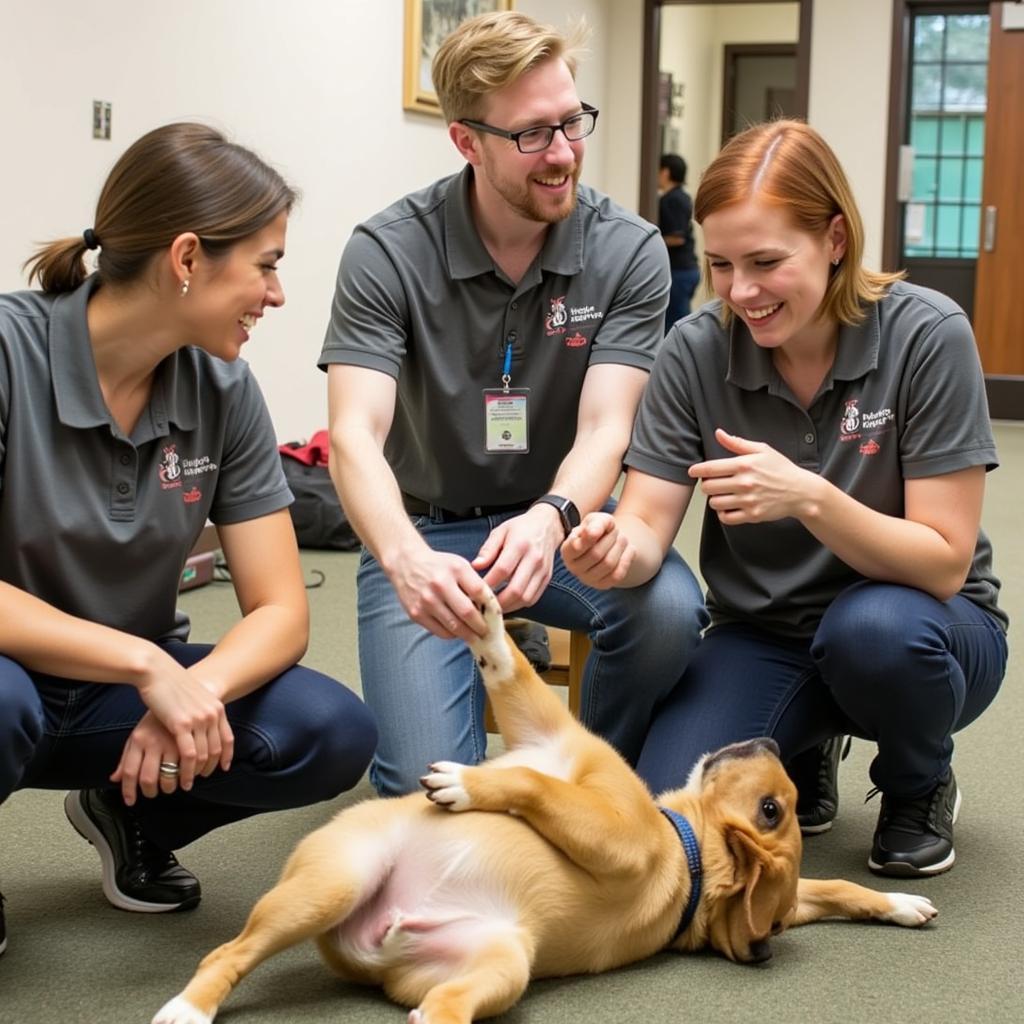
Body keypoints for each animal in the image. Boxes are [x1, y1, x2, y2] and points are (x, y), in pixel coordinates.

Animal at [153, 585, 937, 1024]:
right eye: (776, 809)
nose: (771, 738)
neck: (684, 848)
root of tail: (376, 937)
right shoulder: (543, 729)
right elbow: (507, 667)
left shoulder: (613, 835)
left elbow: (535, 786)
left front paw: (468, 786)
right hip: (342, 892)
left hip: (482, 956)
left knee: (235, 956)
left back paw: (188, 1009)